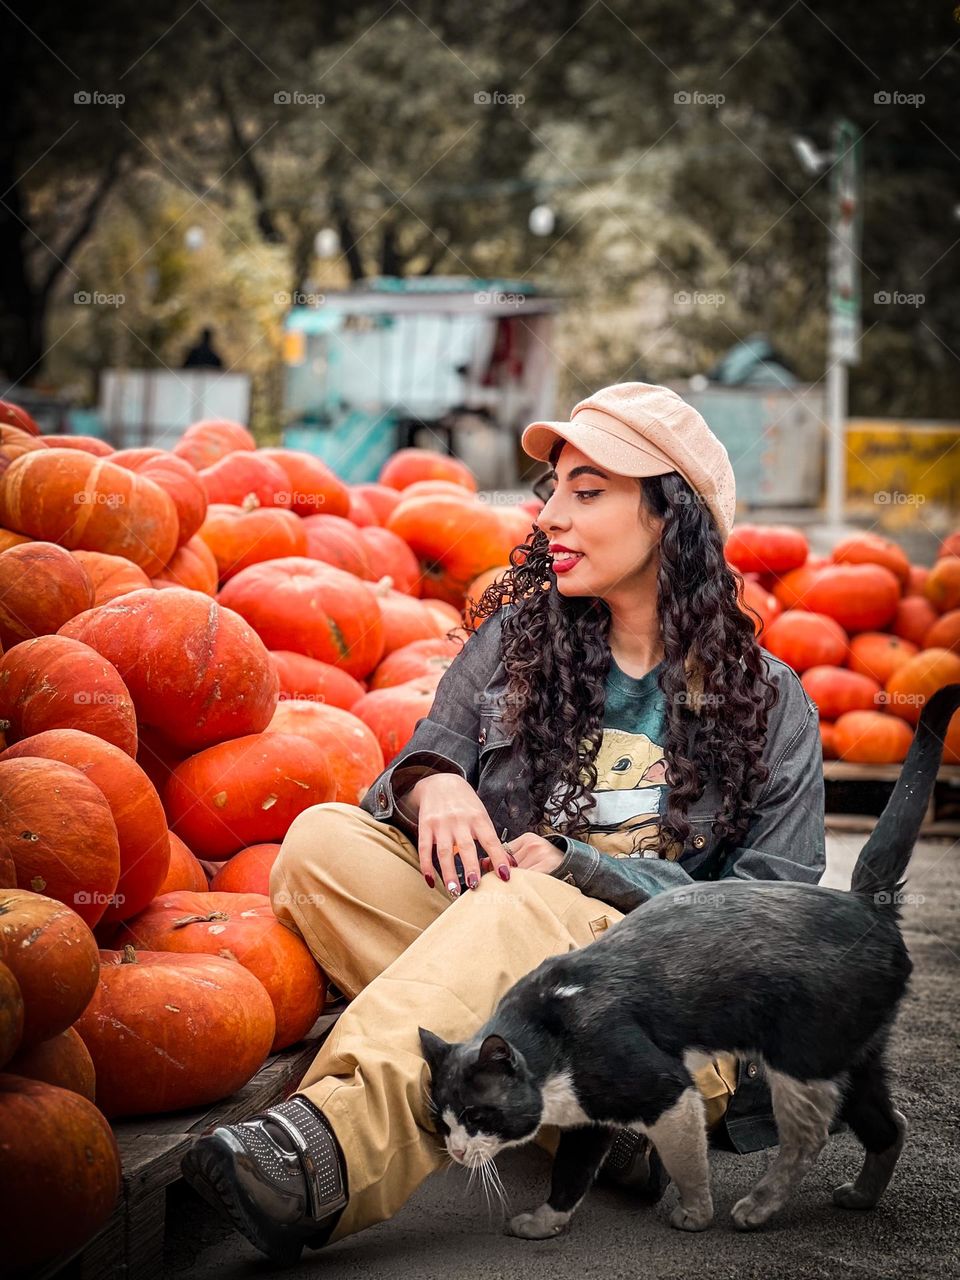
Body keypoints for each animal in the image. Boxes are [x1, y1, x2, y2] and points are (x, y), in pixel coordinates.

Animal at [419, 686, 960, 1233]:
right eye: (441, 1119)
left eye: (478, 1117)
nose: (457, 1152)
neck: (552, 1046)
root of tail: (865, 901)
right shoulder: (592, 1113)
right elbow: (571, 1172)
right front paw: (544, 1223)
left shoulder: (665, 1089)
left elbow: (687, 1161)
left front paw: (694, 1214)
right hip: (853, 1054)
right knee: (891, 1123)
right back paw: (860, 1196)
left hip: (798, 1055)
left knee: (810, 1136)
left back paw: (755, 1209)